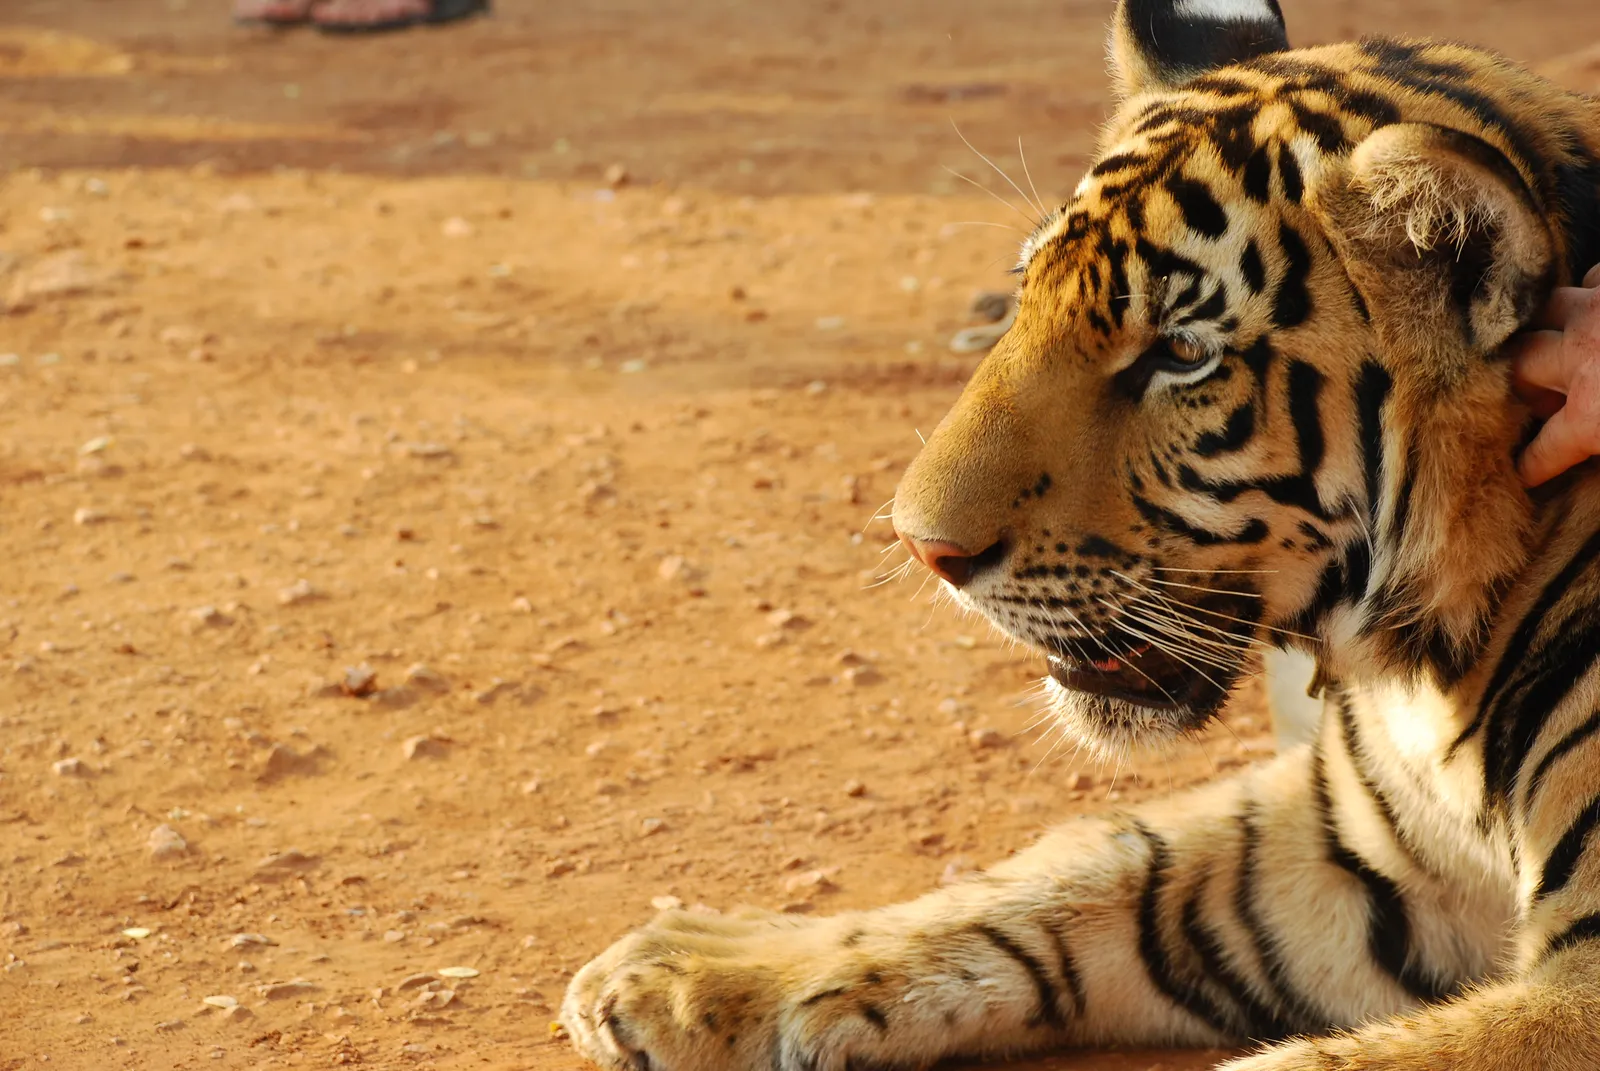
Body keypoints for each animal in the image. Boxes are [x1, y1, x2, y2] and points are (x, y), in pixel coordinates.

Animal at [559, 0, 1600, 1067]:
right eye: (1027, 299)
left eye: (1179, 353)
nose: (926, 548)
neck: (1436, 668)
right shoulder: (1350, 853)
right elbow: (1095, 864)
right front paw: (690, 965)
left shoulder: (1577, 991)